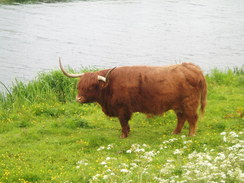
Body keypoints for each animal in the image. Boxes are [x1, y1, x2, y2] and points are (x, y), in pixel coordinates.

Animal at [60, 59, 207, 138]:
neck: (110, 86)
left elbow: (123, 123)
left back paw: (191, 134)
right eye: (79, 85)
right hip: (178, 105)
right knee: (181, 118)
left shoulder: (122, 109)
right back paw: (175, 132)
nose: (78, 99)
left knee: (192, 118)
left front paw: (123, 136)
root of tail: (193, 67)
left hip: (189, 103)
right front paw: (128, 133)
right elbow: (126, 124)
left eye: (91, 86)